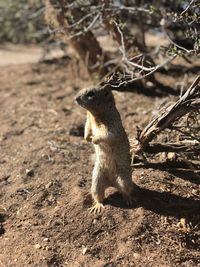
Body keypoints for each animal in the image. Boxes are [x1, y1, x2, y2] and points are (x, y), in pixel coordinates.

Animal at [75, 85, 136, 215]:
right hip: (97, 181)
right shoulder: (88, 122)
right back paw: (97, 206)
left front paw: (94, 140)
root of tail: (112, 183)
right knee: (99, 196)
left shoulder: (111, 126)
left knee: (125, 191)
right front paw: (87, 138)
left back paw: (128, 199)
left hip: (124, 180)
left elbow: (106, 135)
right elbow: (87, 129)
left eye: (91, 94)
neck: (93, 115)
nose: (76, 98)